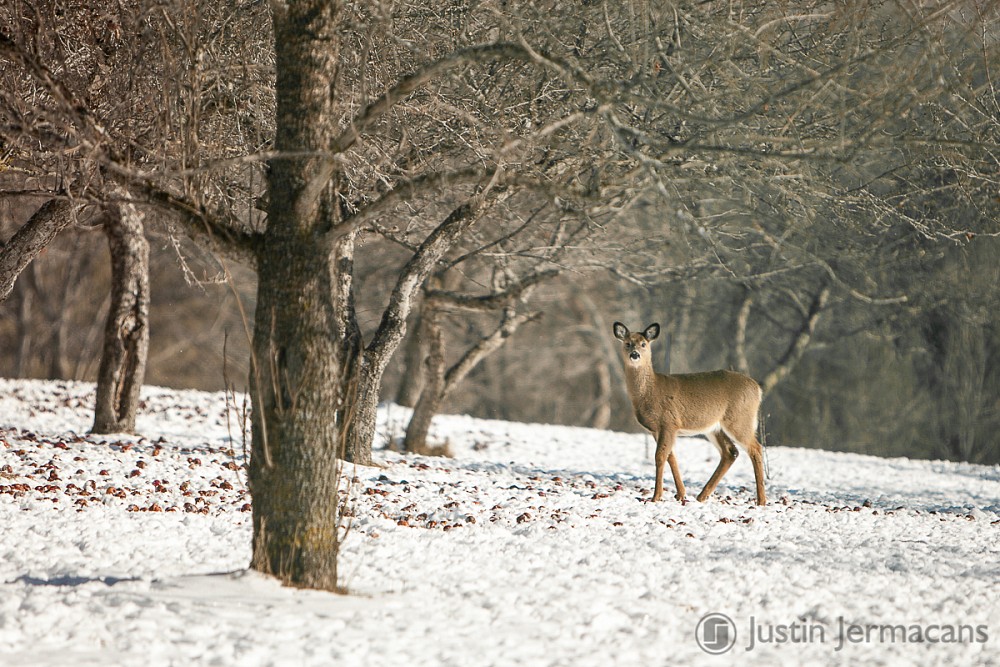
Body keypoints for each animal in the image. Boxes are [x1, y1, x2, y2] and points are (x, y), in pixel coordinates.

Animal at [613, 322, 767, 506]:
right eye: (627, 343)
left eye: (643, 344)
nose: (634, 354)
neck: (651, 391)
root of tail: (758, 389)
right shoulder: (658, 430)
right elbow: (671, 457)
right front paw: (680, 494)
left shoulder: (668, 422)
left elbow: (660, 456)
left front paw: (656, 497)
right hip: (715, 428)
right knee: (731, 452)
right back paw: (702, 496)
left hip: (739, 419)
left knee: (755, 448)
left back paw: (761, 500)